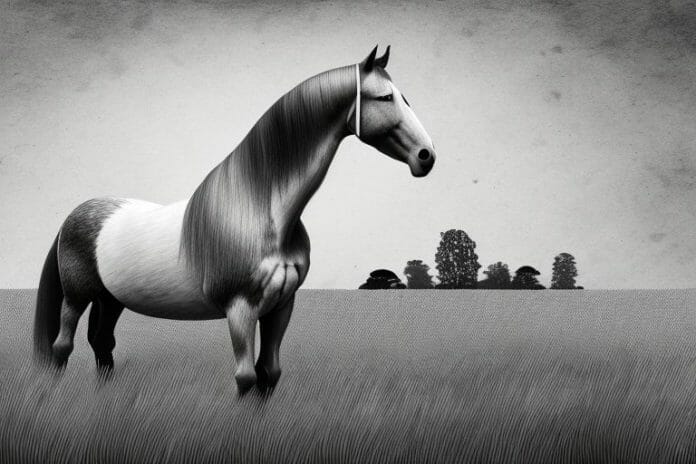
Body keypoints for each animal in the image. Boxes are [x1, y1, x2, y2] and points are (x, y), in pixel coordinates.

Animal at [33, 46, 436, 395]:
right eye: (384, 98)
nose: (427, 156)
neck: (260, 211)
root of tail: (75, 214)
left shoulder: (280, 307)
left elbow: (269, 373)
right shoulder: (240, 308)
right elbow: (245, 377)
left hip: (111, 298)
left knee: (102, 343)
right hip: (77, 297)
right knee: (62, 346)